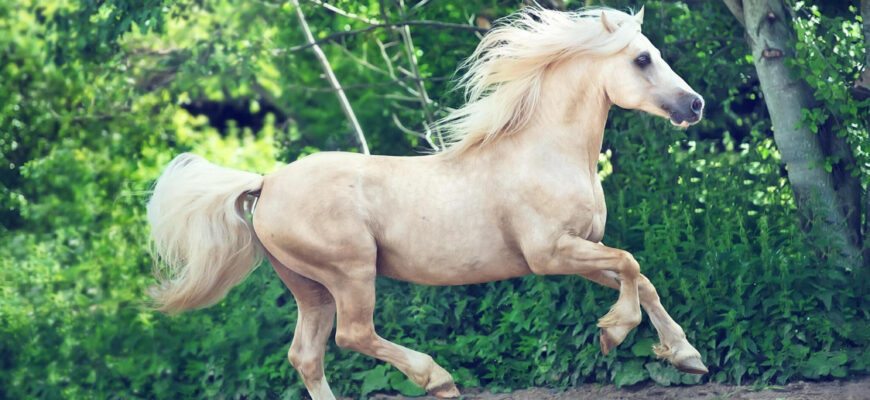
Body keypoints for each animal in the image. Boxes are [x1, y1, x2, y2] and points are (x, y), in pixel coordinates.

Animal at [148, 7, 708, 400]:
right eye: (641, 59)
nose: (696, 104)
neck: (546, 152)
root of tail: (266, 182)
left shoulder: (580, 252)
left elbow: (641, 278)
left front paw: (686, 356)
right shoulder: (550, 253)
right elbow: (631, 263)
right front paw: (614, 334)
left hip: (310, 287)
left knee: (306, 355)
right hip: (350, 273)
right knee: (353, 336)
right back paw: (438, 379)